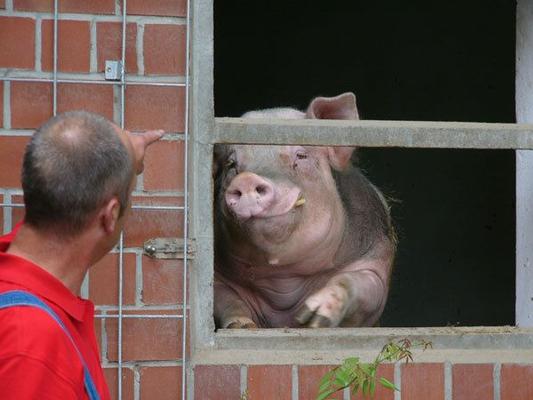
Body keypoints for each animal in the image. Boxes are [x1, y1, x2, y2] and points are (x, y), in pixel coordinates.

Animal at [213, 93, 394, 328]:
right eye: (231, 164)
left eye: (301, 155)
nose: (246, 179)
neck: (284, 281)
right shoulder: (218, 276)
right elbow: (229, 300)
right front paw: (242, 326)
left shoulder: (375, 260)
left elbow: (353, 282)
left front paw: (314, 319)